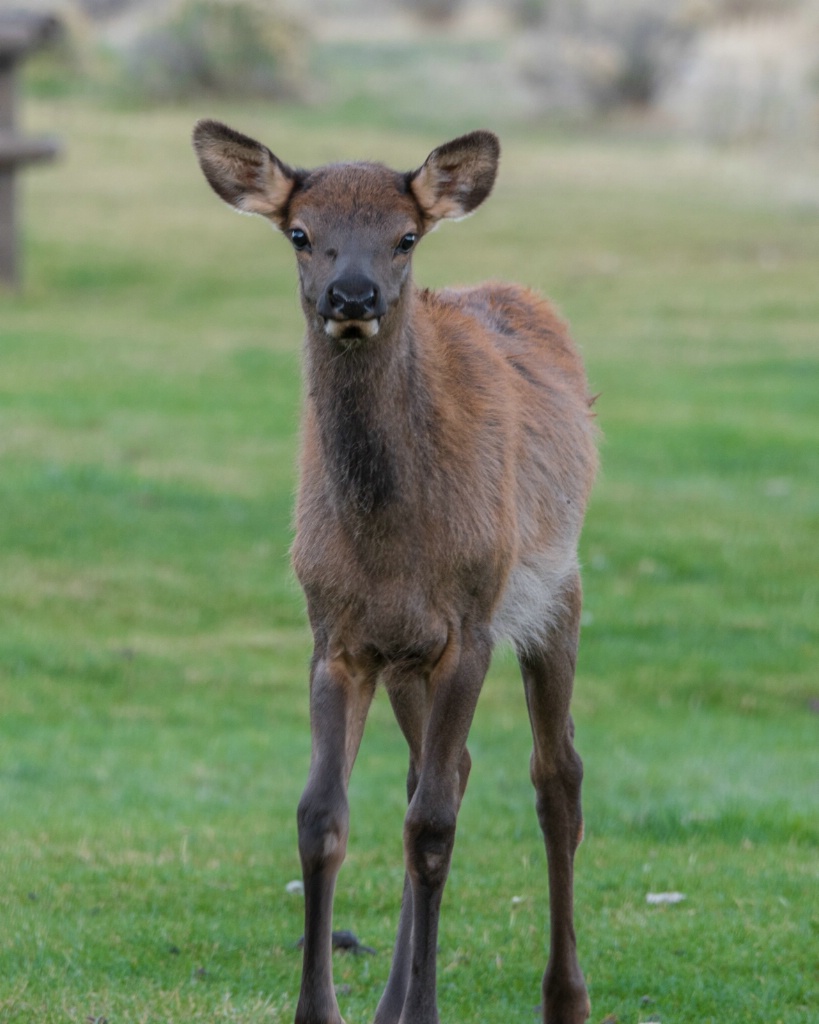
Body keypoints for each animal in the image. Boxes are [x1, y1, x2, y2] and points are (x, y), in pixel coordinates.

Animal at [195, 121, 597, 1024]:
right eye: (299, 233)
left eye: (405, 236)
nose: (352, 296)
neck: (390, 544)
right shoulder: (336, 635)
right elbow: (321, 818)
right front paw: (323, 1010)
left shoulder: (470, 627)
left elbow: (431, 828)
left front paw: (423, 1011)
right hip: (408, 658)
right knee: (448, 769)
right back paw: (389, 1001)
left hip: (553, 595)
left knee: (554, 777)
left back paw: (564, 998)